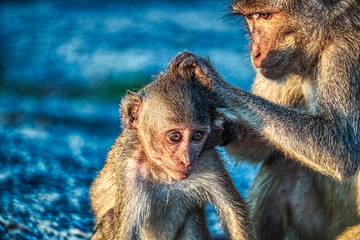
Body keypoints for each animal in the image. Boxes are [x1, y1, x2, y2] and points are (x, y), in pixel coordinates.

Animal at [89, 53, 253, 239]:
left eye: (197, 136)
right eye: (175, 137)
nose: (186, 160)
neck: (164, 173)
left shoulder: (208, 160)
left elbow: (234, 212)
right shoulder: (130, 172)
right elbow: (125, 232)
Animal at [176, 0, 360, 240]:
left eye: (265, 16)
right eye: (251, 18)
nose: (255, 52)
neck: (329, 33)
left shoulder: (346, 53)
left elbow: (341, 148)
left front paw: (213, 82)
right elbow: (261, 148)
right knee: (282, 167)